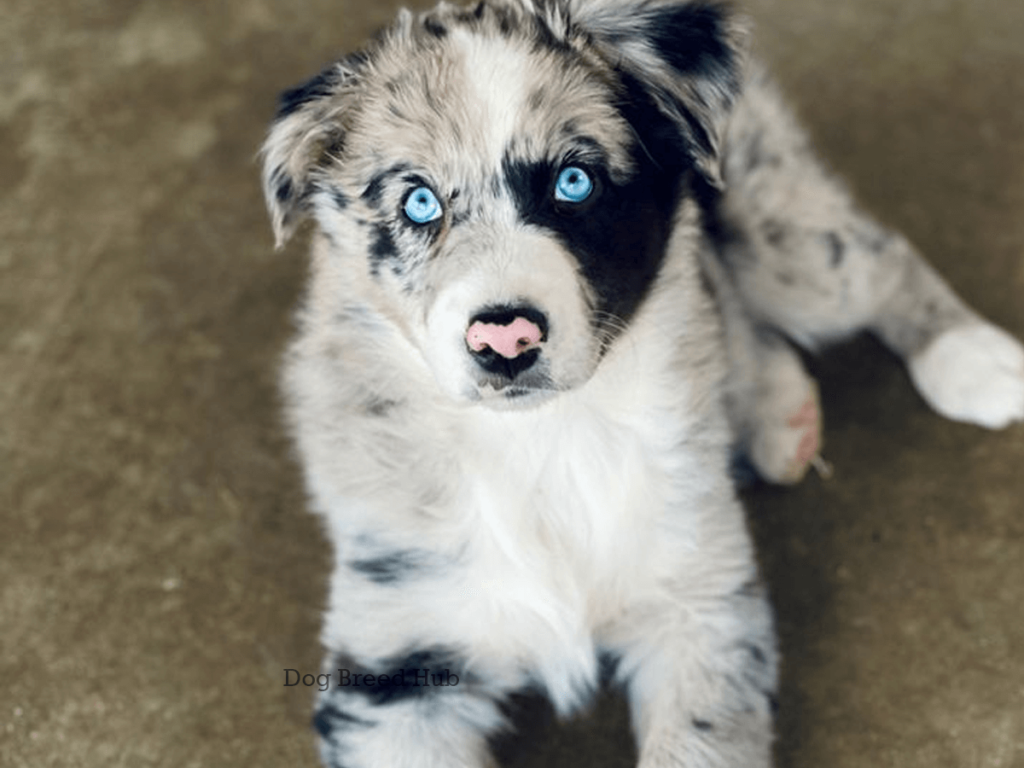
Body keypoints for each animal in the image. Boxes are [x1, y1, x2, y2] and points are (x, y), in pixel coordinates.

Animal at [262, 3, 1024, 765]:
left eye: (574, 183)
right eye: (419, 202)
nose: (504, 339)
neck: (541, 438)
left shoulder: (701, 603)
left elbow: (698, 743)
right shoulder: (394, 661)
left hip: (781, 234)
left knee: (873, 258)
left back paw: (972, 361)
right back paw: (782, 418)